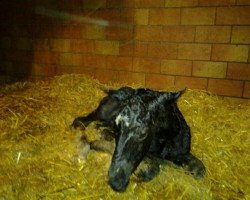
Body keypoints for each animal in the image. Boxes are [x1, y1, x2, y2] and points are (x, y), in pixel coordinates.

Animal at [72, 87, 205, 192]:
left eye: (144, 132)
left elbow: (200, 168)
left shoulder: (181, 151)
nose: (116, 182)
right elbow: (154, 167)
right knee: (85, 119)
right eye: (118, 125)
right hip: (103, 113)